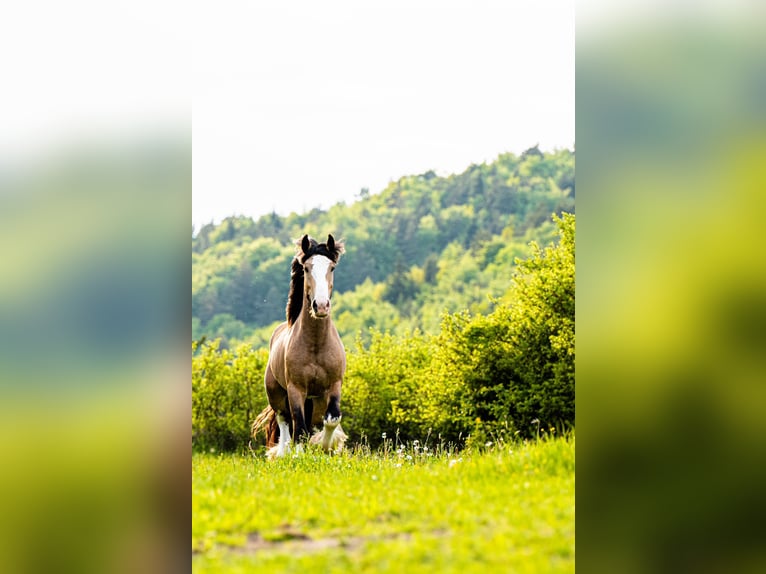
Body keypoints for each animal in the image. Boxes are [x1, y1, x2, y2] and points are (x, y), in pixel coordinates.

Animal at [252, 234, 348, 460]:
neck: (316, 345)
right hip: (277, 394)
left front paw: (326, 446)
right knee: (284, 420)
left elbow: (332, 419)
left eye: (332, 267)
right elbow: (299, 427)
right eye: (306, 268)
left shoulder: (334, 386)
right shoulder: (296, 389)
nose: (320, 306)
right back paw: (283, 453)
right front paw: (299, 454)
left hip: (316, 399)